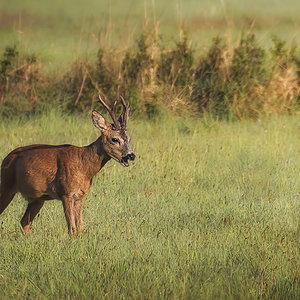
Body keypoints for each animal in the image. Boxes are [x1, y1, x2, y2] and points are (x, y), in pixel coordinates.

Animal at [0, 95, 135, 234]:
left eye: (129, 139)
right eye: (114, 139)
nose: (131, 155)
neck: (84, 166)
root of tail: (6, 158)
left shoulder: (80, 196)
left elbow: (80, 227)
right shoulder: (66, 193)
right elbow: (72, 229)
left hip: (38, 198)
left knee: (24, 222)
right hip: (6, 185)